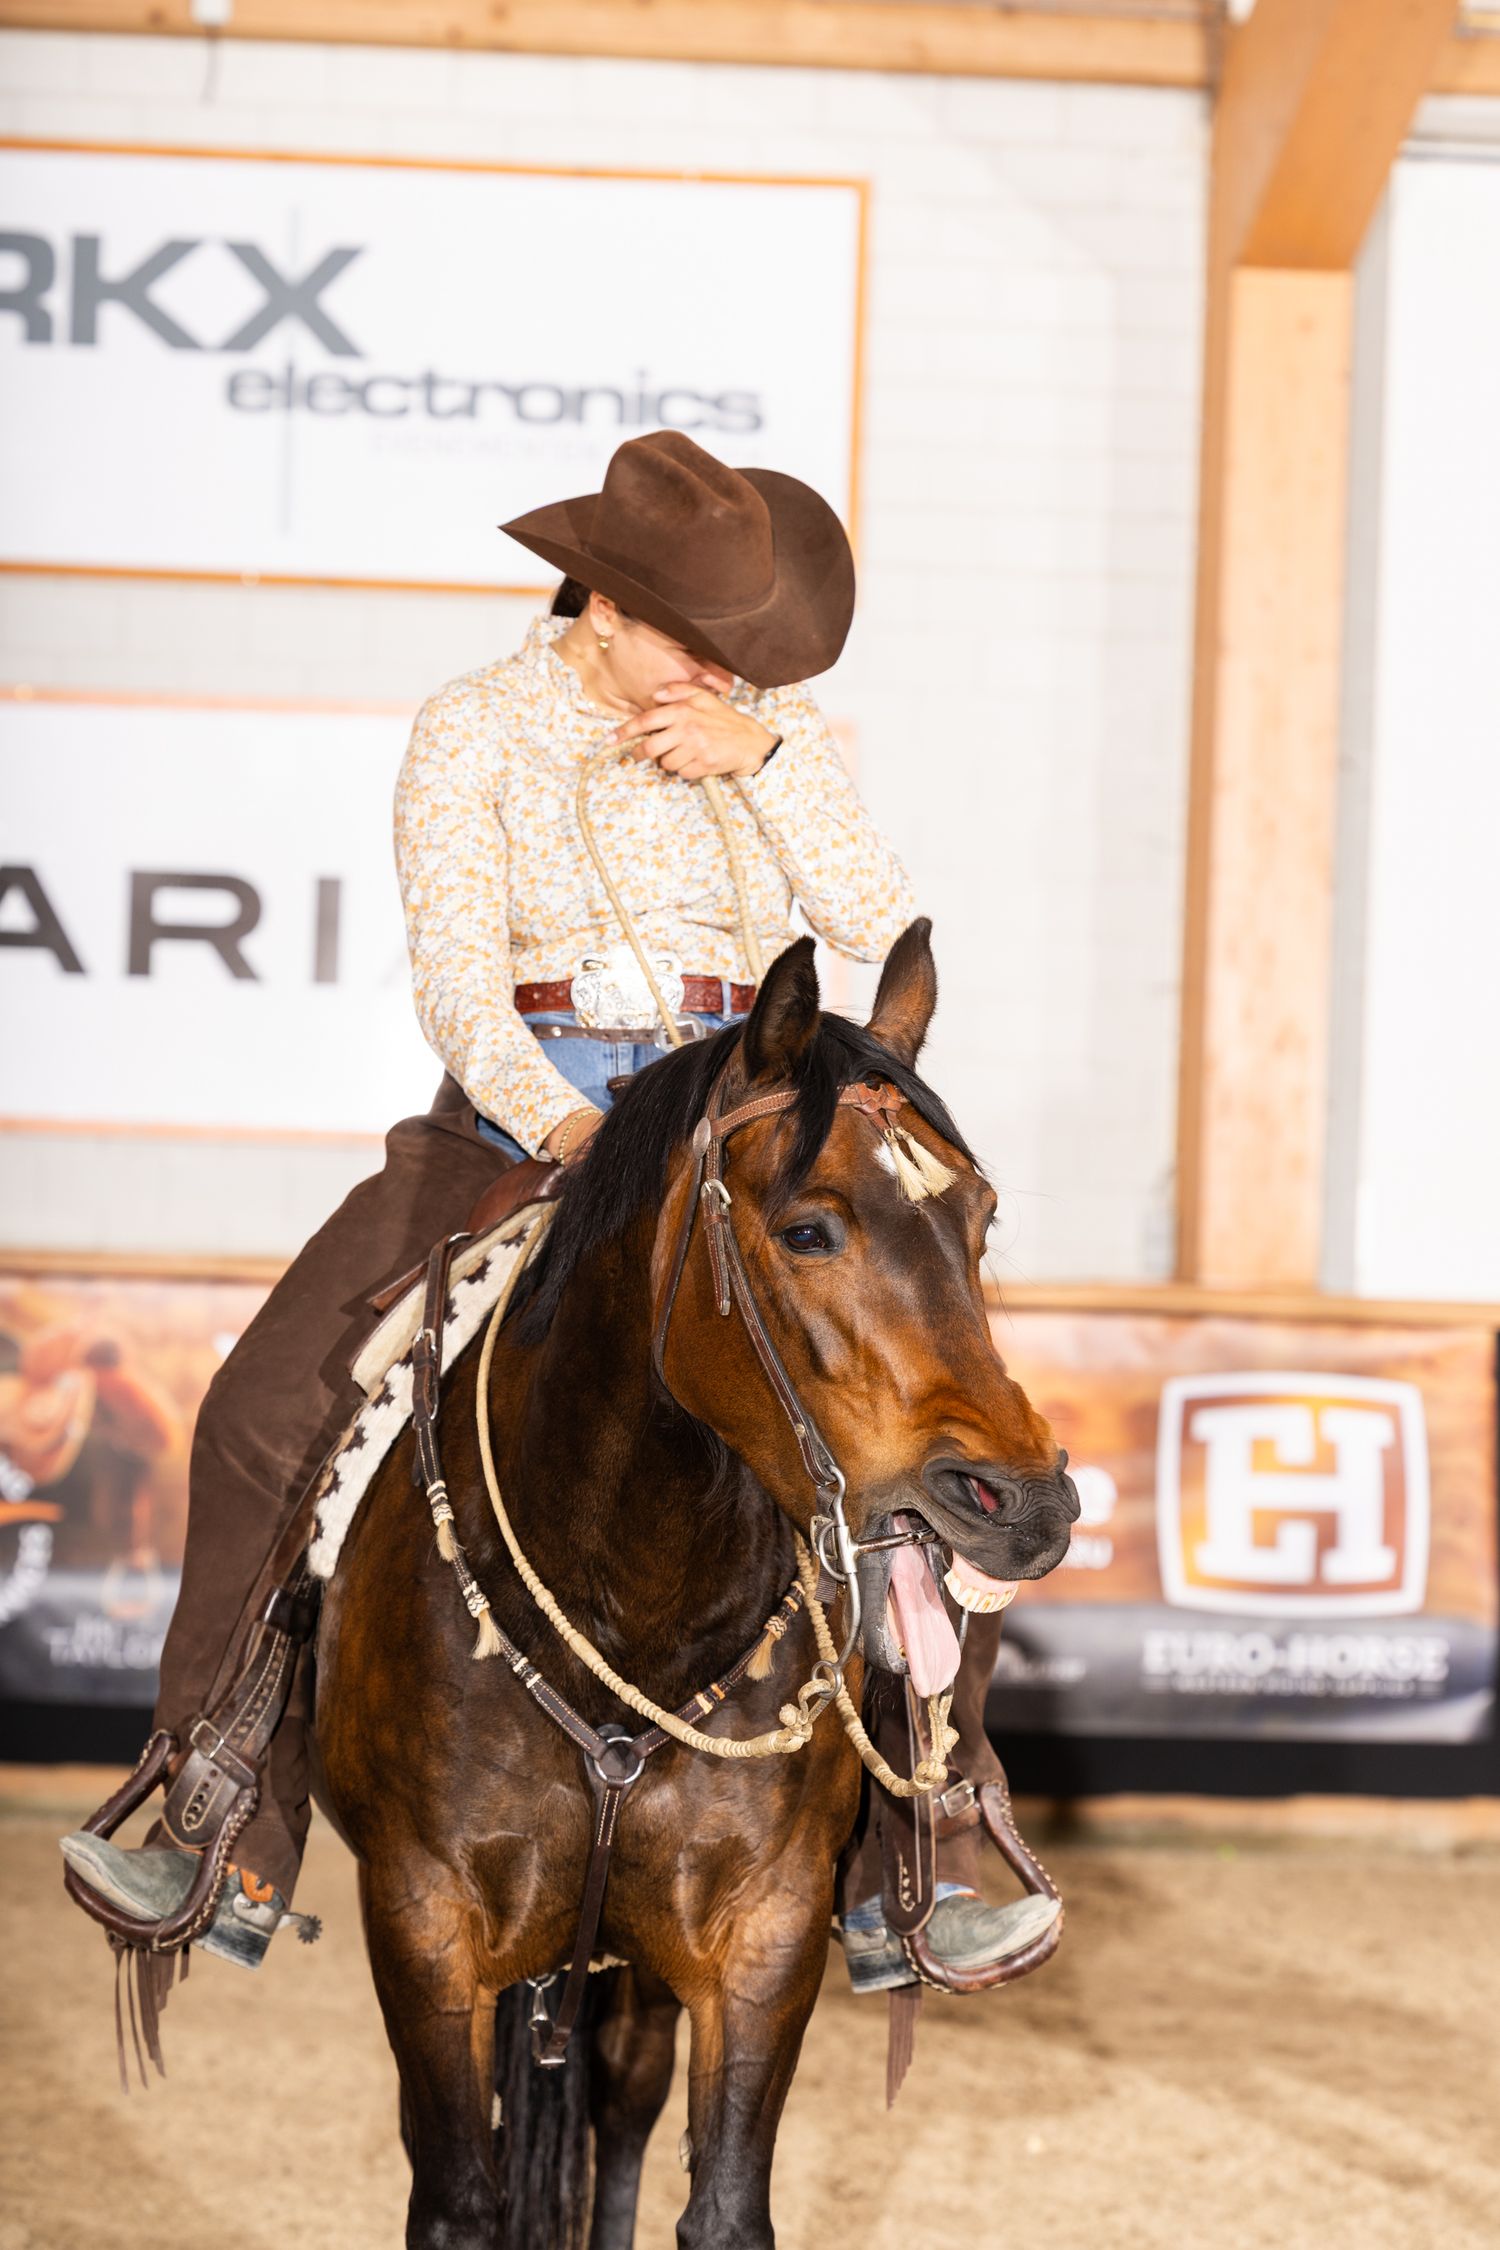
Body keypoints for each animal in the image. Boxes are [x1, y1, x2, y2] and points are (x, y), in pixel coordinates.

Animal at [313, 920, 1079, 2250]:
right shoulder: (422, 1925)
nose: (1024, 1503)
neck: (625, 1608)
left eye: (980, 1216)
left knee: (619, 2111)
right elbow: (457, 2197)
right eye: (810, 1229)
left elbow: (720, 2204)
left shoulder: (759, 1936)